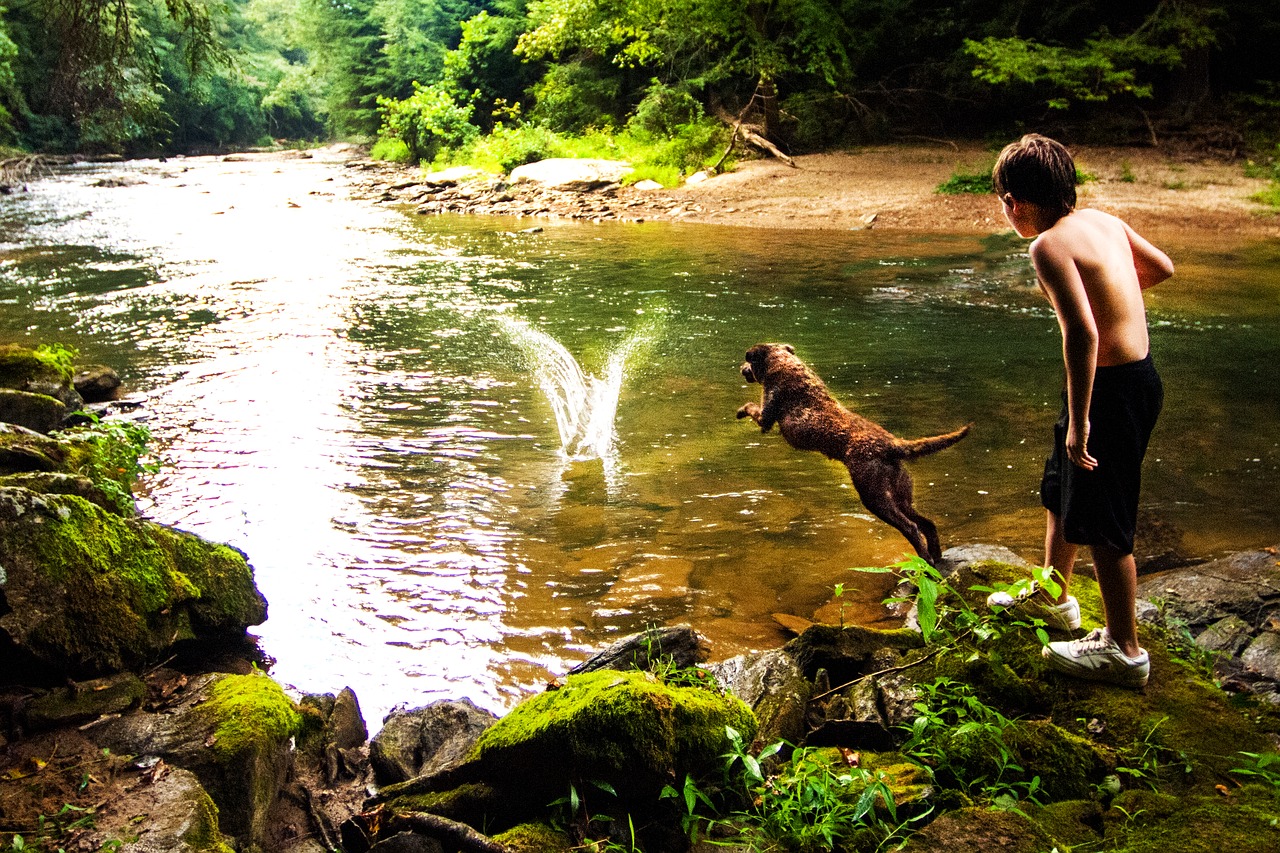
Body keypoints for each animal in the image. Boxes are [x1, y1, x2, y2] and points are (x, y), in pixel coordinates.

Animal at [742, 343, 967, 560]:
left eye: (747, 360)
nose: (741, 368)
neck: (785, 362)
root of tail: (892, 444)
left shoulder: (766, 414)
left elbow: (751, 407)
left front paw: (740, 410)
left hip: (874, 495)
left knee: (911, 528)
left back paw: (925, 560)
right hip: (901, 494)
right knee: (927, 523)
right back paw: (935, 559)